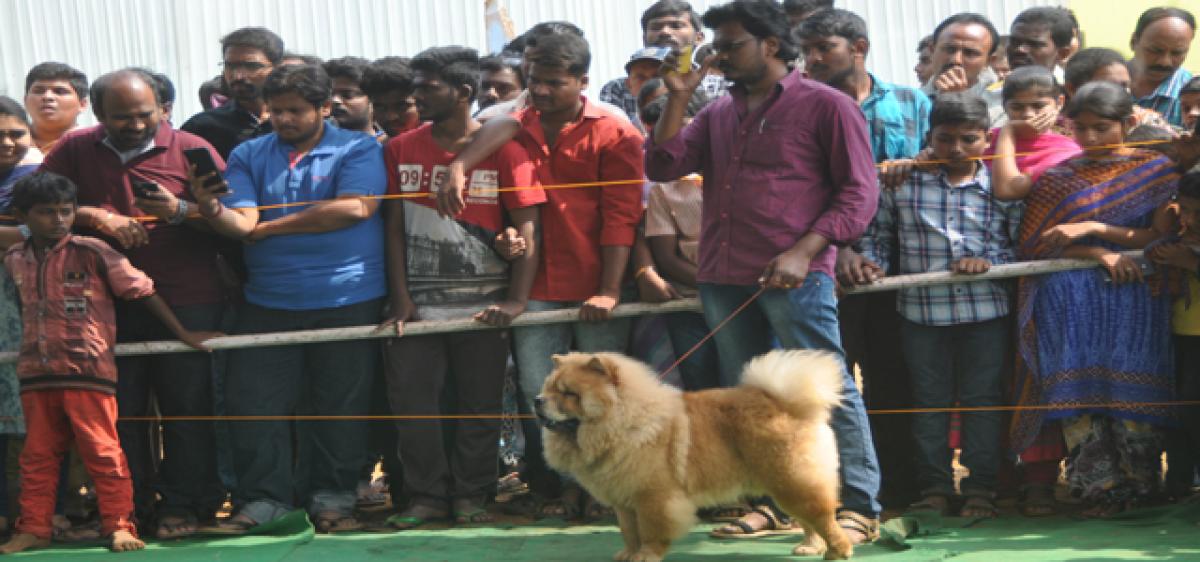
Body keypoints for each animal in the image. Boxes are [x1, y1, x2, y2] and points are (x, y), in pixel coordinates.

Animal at [535, 348, 854, 559]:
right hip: (784, 485)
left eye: (569, 394)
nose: (537, 401)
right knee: (811, 520)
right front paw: (627, 555)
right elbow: (629, 531)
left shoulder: (653, 497)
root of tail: (788, 403)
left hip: (791, 480)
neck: (625, 422)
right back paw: (810, 547)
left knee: (823, 516)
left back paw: (838, 551)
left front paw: (645, 556)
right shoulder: (624, 500)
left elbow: (649, 532)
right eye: (548, 389)